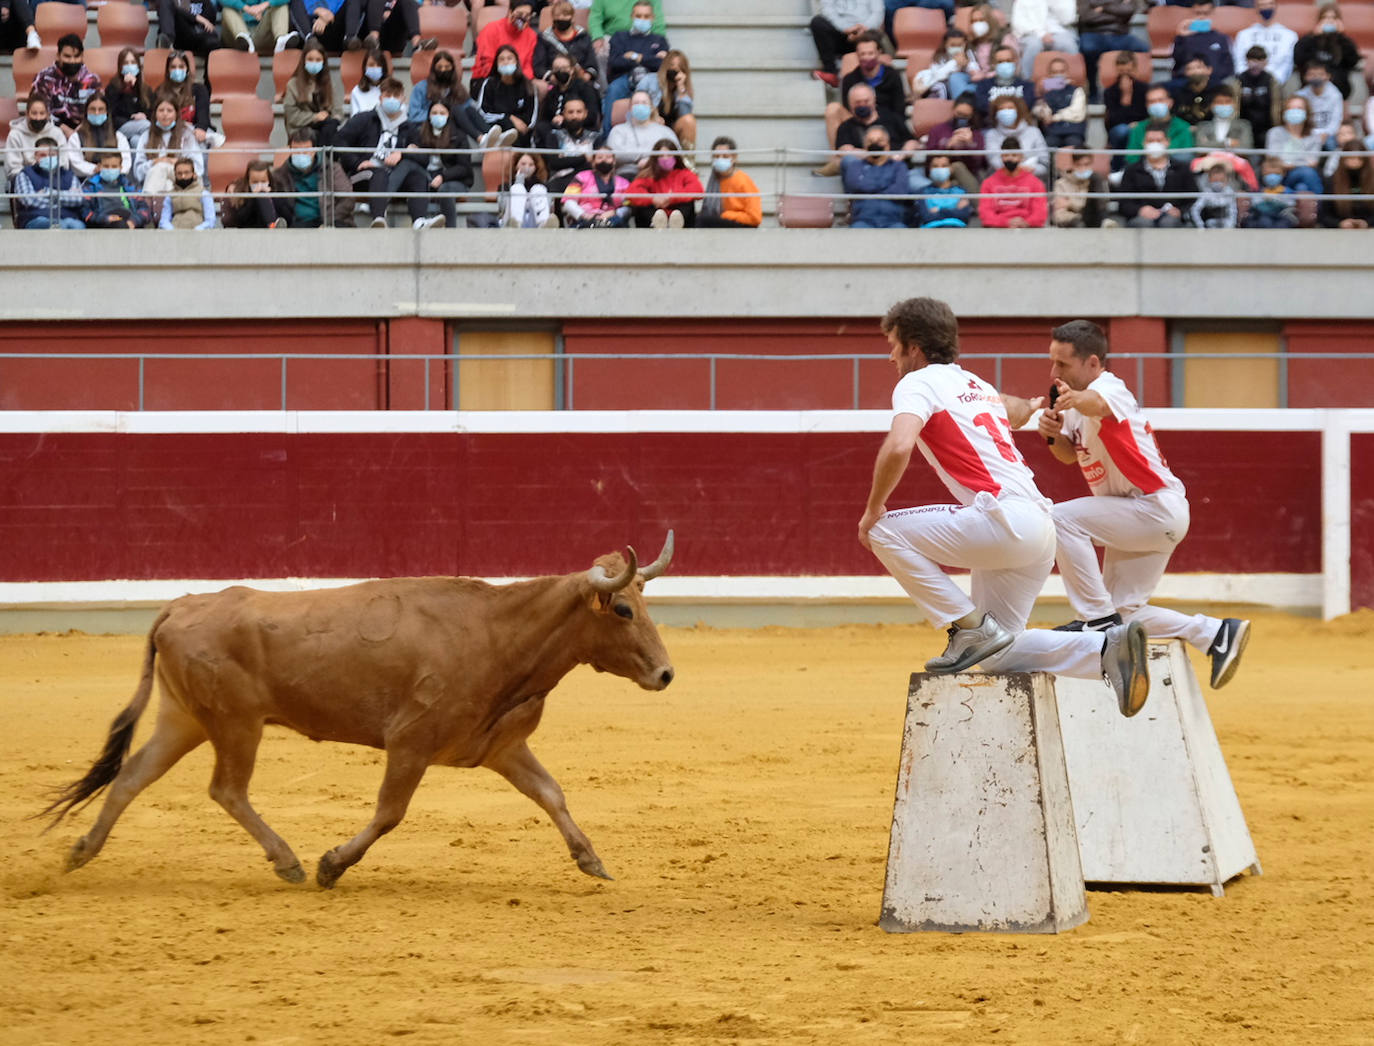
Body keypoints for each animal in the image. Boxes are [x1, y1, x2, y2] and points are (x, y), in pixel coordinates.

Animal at [36, 533, 670, 885]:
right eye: (621, 609)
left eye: (644, 603)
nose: (666, 673)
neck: (497, 632)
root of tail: (180, 605)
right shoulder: (410, 743)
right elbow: (390, 812)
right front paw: (331, 865)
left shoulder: (501, 745)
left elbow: (551, 794)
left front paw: (591, 860)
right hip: (236, 723)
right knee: (226, 789)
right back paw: (289, 862)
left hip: (184, 718)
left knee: (131, 777)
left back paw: (81, 852)